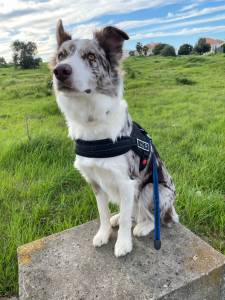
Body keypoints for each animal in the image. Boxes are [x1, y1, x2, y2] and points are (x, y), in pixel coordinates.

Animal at [51, 19, 178, 256]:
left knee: (149, 217)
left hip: (151, 190)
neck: (92, 120)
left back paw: (142, 227)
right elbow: (102, 213)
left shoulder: (126, 182)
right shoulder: (95, 181)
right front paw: (104, 234)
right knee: (131, 212)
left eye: (91, 57)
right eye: (61, 56)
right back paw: (117, 217)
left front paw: (123, 243)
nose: (60, 71)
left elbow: (128, 220)